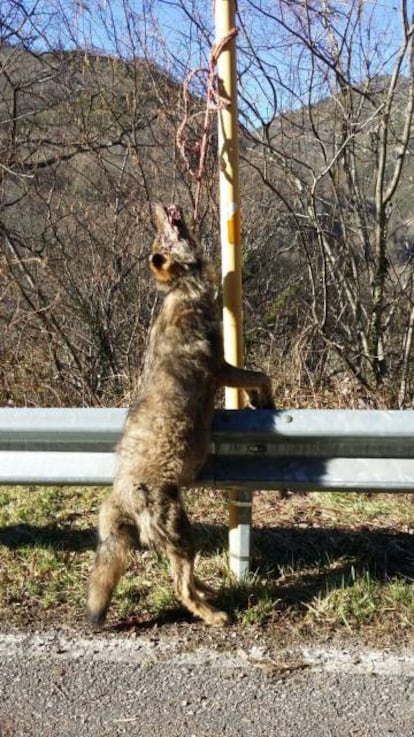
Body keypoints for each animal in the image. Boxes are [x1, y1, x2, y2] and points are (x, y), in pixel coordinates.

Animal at [86, 203, 274, 628]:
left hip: (179, 538)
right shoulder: (222, 368)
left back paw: (210, 592)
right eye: (163, 236)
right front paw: (267, 403)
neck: (182, 291)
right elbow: (262, 376)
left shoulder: (225, 369)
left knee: (185, 577)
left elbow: (258, 379)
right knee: (181, 587)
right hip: (182, 534)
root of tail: (118, 498)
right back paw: (215, 615)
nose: (158, 207)